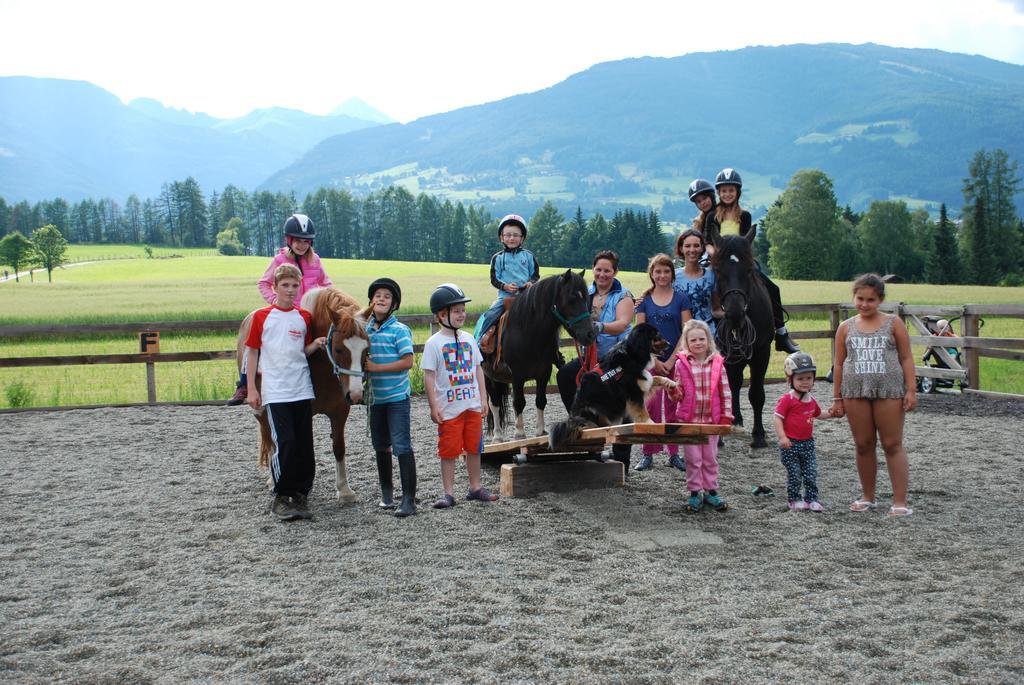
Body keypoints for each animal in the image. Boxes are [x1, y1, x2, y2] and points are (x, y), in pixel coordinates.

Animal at [234, 284, 368, 501]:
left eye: (366, 348)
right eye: (339, 349)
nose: (356, 394)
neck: (321, 367)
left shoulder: (340, 412)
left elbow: (339, 447)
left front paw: (344, 490)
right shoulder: (301, 411)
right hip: (261, 410)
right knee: (271, 441)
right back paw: (273, 480)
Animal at [483, 266, 598, 438]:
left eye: (586, 299)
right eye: (572, 299)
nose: (590, 334)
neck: (529, 333)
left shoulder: (544, 372)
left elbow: (541, 400)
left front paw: (540, 431)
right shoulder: (517, 376)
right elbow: (519, 402)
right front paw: (519, 433)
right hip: (488, 377)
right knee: (494, 403)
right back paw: (497, 436)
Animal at [716, 233, 770, 448]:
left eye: (748, 271)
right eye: (717, 271)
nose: (735, 314)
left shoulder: (762, 353)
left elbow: (756, 394)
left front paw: (759, 435)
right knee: (734, 383)